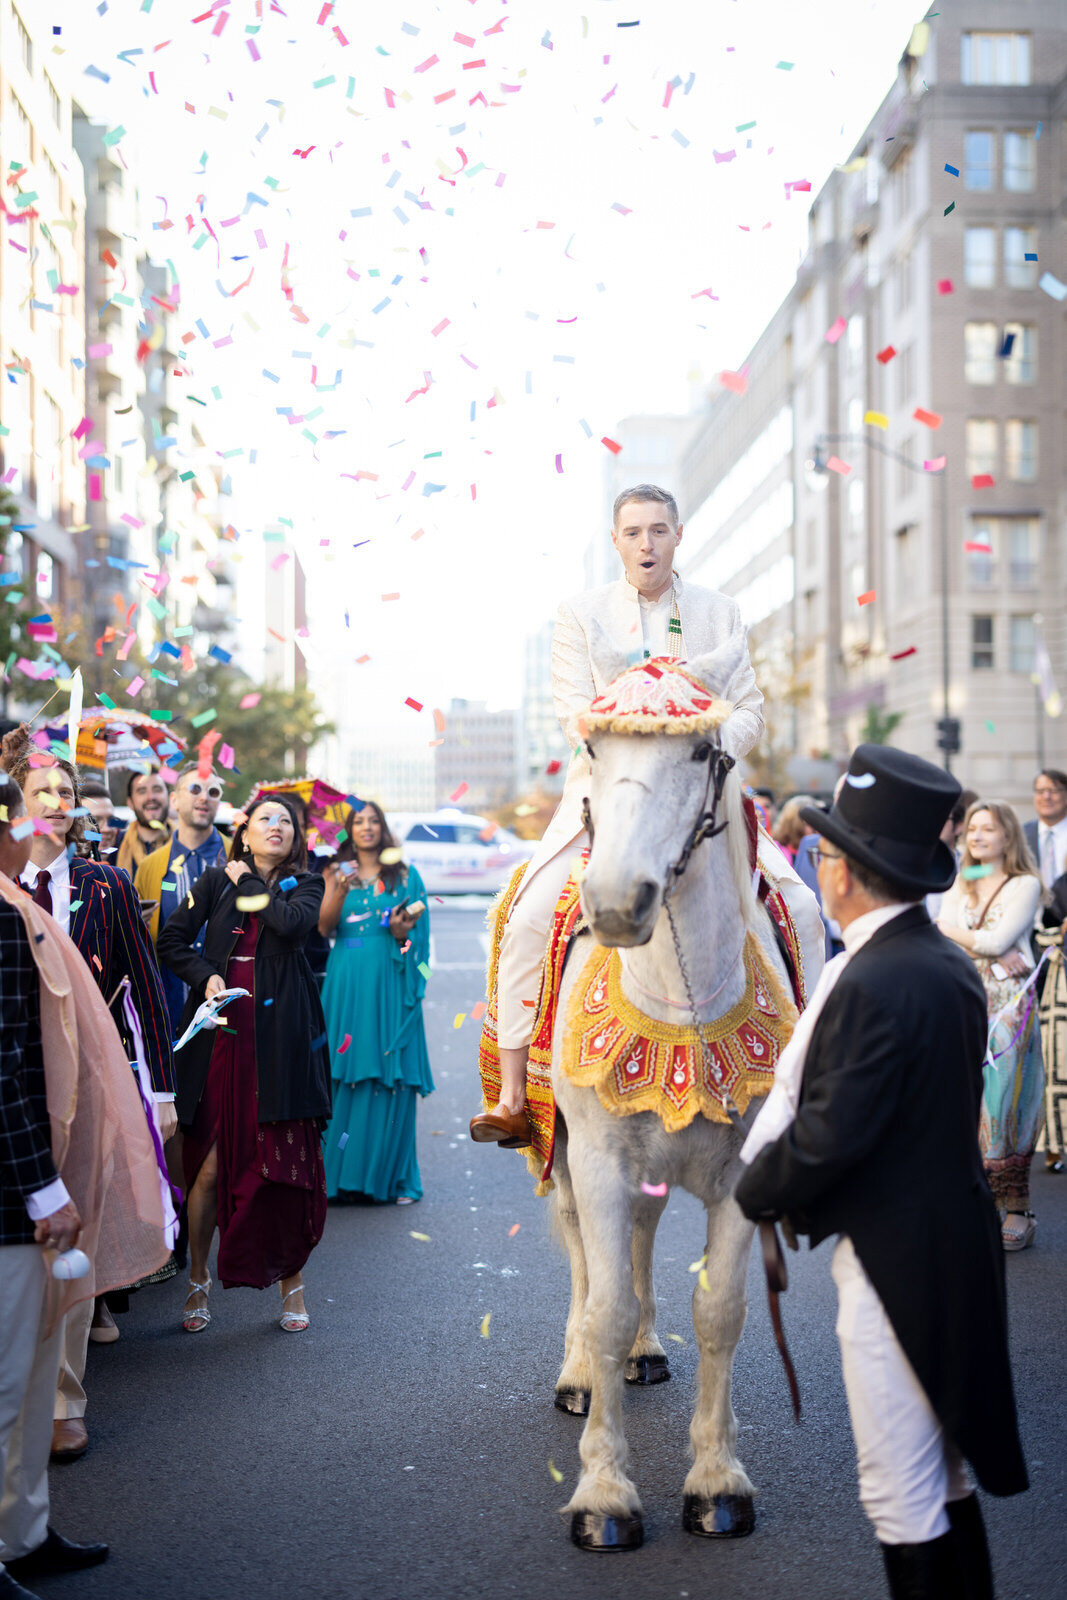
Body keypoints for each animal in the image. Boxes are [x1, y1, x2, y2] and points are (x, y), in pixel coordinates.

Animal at [550, 636, 799, 1548]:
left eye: (699, 752)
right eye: (592, 746)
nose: (618, 904)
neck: (677, 1004)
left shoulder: (741, 1176)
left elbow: (720, 1310)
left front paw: (716, 1484)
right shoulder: (595, 1158)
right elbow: (605, 1305)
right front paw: (603, 1496)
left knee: (643, 1238)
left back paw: (643, 1357)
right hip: (565, 1159)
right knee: (585, 1259)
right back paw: (581, 1374)